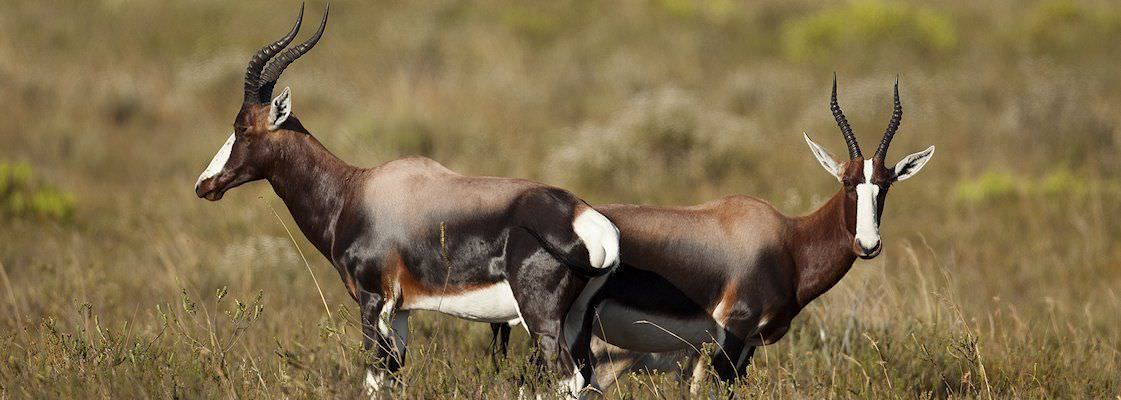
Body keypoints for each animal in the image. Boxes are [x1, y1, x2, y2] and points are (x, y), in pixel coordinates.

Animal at [197, 4, 627, 394]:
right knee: (586, 377)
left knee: (568, 377)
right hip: (576, 320)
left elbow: (374, 378)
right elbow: (392, 377)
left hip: (542, 319)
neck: (356, 191)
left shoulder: (371, 301)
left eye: (241, 127)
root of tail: (588, 220)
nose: (205, 185)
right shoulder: (400, 311)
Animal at [495, 76, 932, 392]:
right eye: (847, 183)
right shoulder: (730, 338)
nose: (868, 245)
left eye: (885, 185)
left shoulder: (744, 349)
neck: (786, 241)